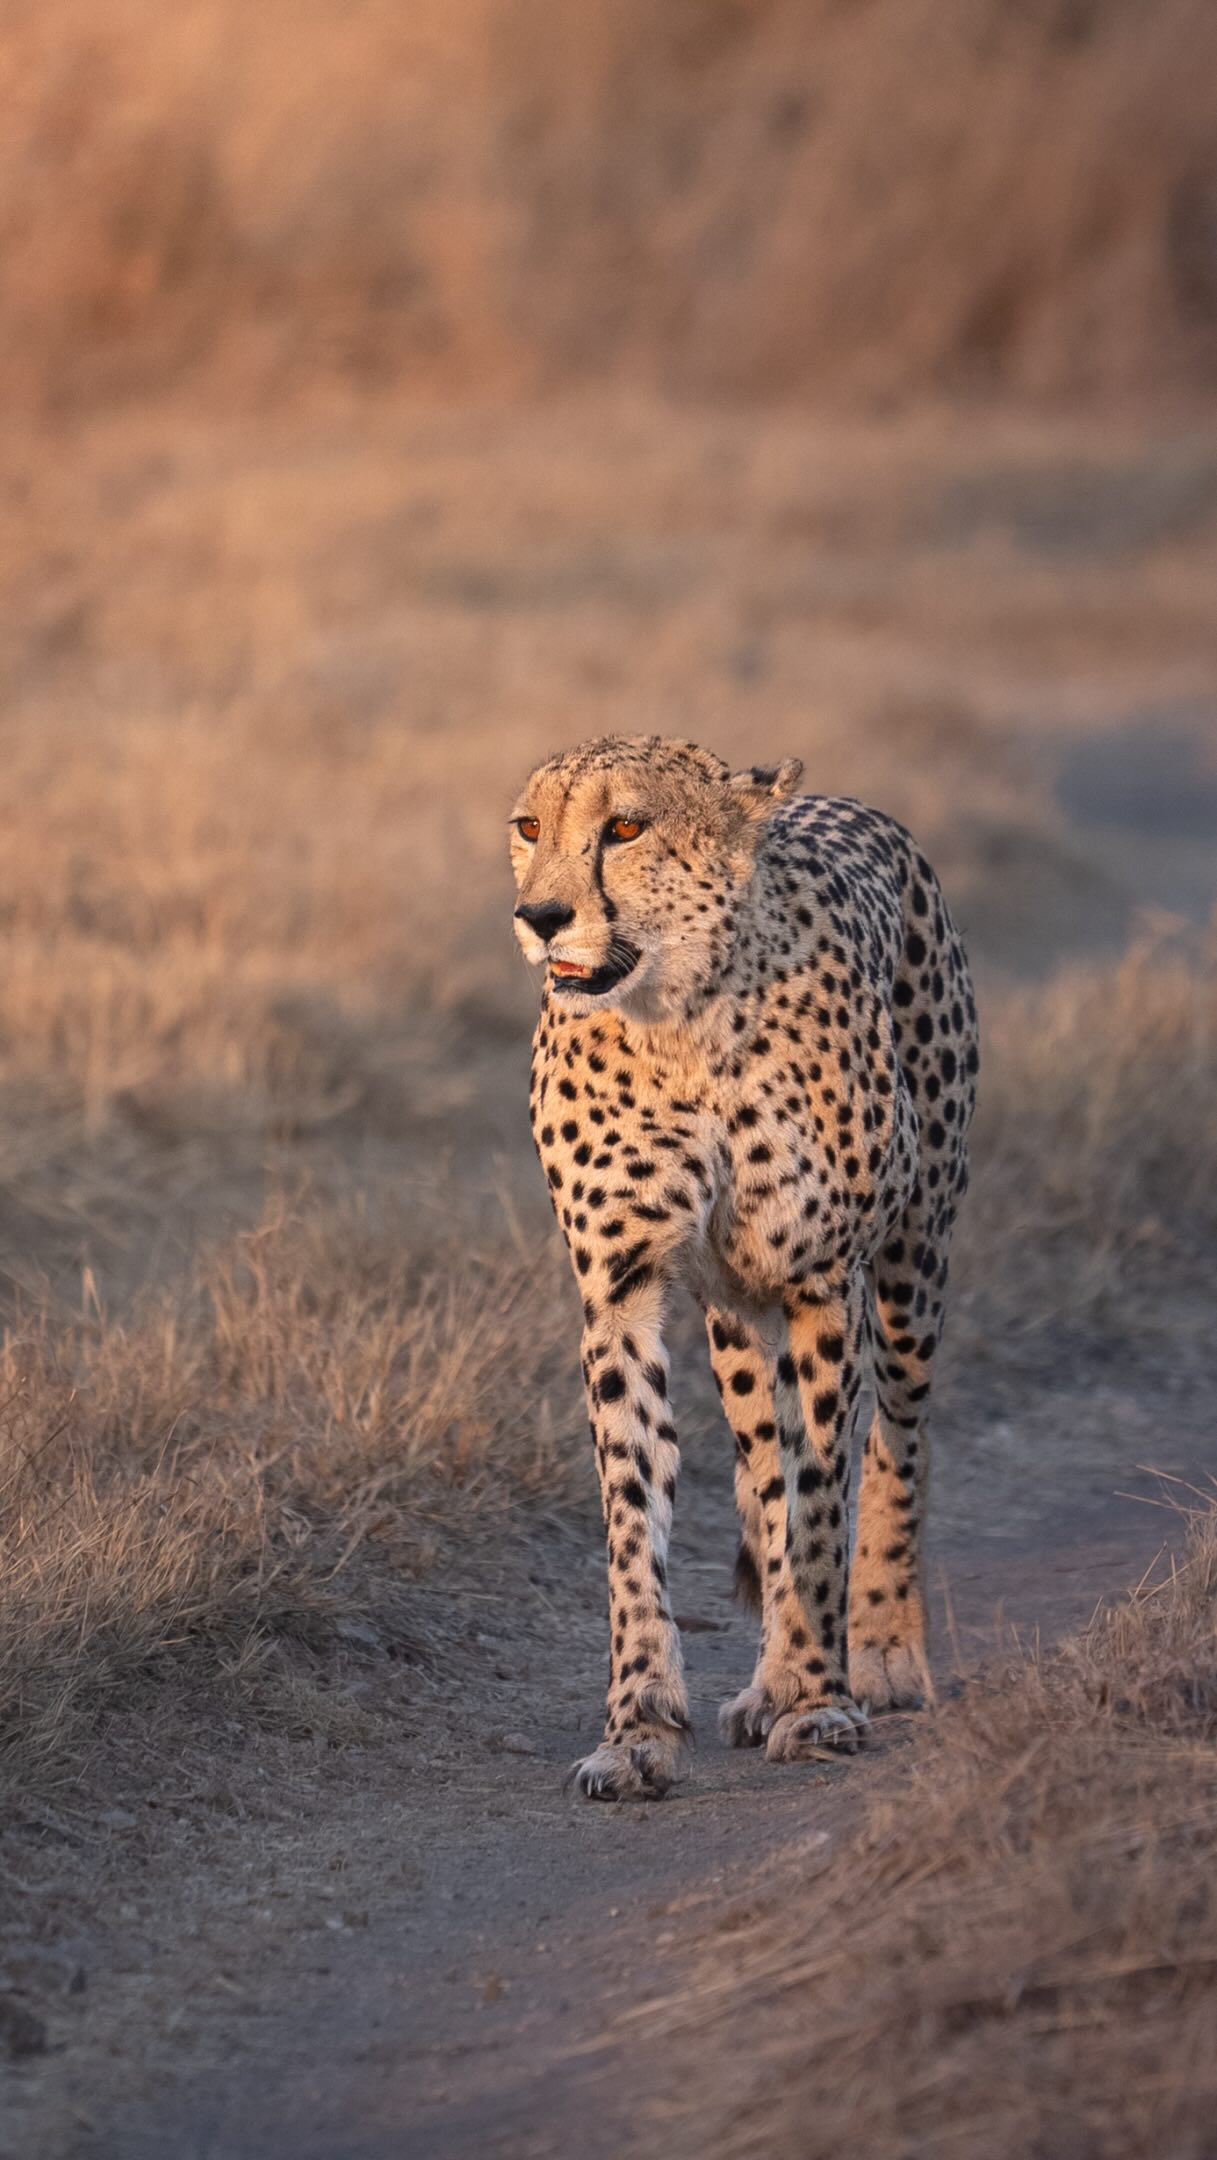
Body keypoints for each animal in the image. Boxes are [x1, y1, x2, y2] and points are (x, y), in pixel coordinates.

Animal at [509, 734, 978, 1800]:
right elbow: (638, 1517)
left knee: (894, 1442)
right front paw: (638, 1726)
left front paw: (820, 1699)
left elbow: (822, 1506)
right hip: (735, 1314)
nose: (539, 917)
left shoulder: (822, 1280)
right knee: (765, 1462)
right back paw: (768, 1677)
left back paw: (878, 1649)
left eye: (625, 826)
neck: (680, 1022)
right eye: (529, 826)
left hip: (911, 1259)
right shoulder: (620, 1291)